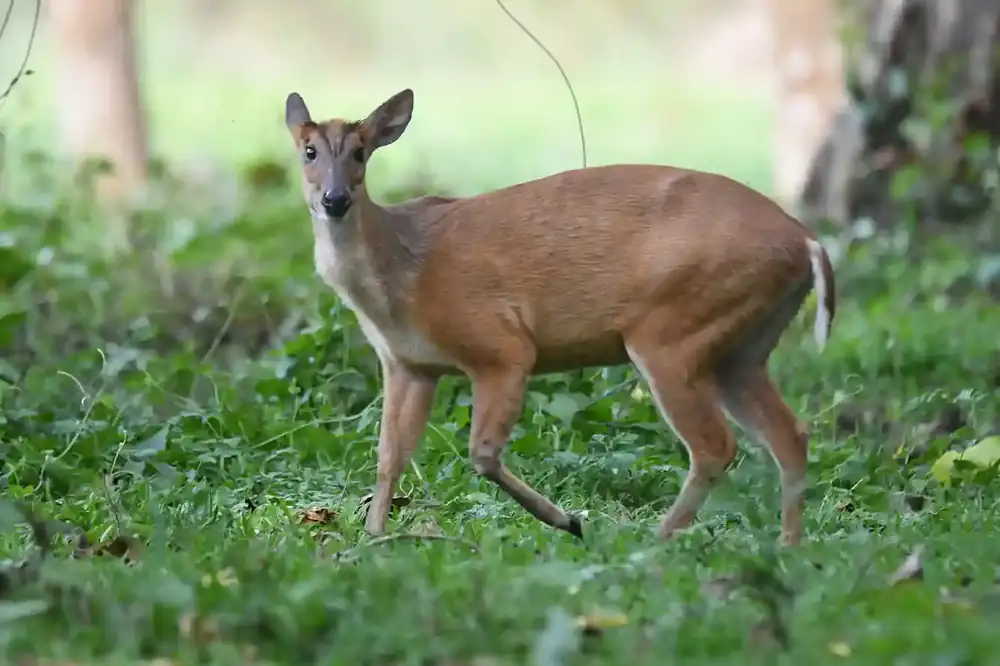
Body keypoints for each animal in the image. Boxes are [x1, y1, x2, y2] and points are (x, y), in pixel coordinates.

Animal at [283, 87, 837, 546]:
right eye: (308, 151)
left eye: (360, 152)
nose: (335, 199)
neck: (401, 275)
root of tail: (807, 241)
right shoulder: (409, 364)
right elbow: (388, 455)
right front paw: (373, 537)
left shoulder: (501, 345)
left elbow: (481, 453)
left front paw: (568, 521)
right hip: (741, 347)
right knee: (790, 434)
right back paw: (789, 545)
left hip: (674, 331)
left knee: (716, 445)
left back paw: (657, 541)